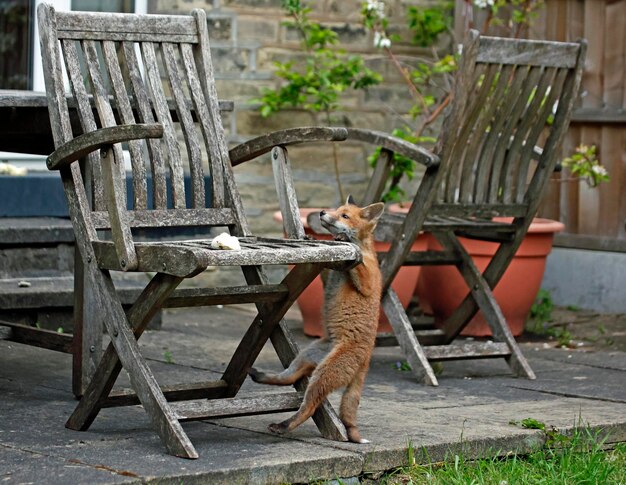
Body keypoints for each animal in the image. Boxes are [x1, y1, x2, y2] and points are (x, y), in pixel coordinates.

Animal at [247, 196, 382, 442]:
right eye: (337, 210)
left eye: (344, 215)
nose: (321, 212)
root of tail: (366, 360)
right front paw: (312, 238)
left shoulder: (370, 283)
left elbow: (360, 263)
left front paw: (347, 243)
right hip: (306, 356)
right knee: (288, 379)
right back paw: (261, 376)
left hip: (322, 376)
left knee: (308, 407)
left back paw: (283, 426)